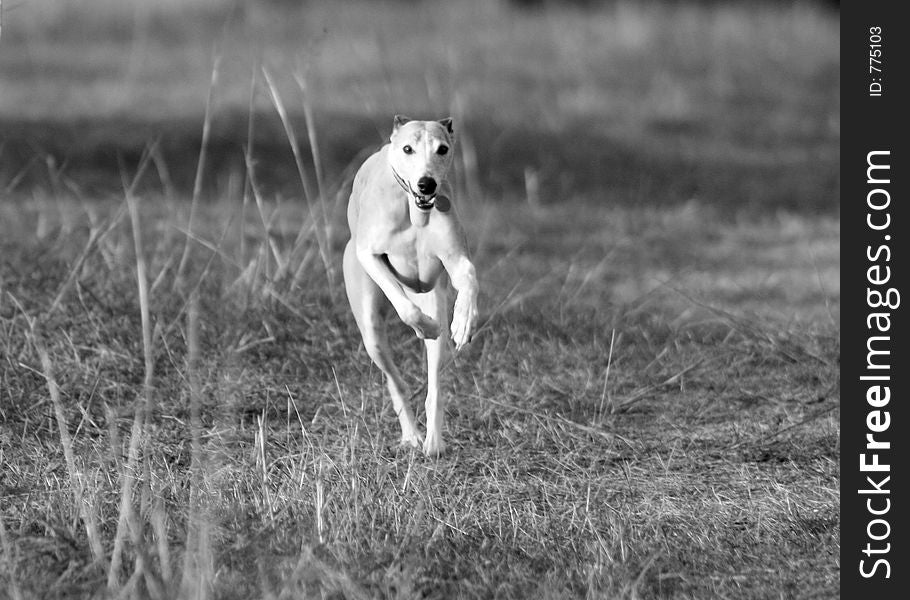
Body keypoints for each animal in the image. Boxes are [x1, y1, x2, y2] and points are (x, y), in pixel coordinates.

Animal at [344, 115, 480, 458]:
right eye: (408, 149)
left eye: (442, 149)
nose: (427, 184)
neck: (414, 210)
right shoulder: (370, 255)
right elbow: (402, 304)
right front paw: (423, 325)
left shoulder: (455, 258)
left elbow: (469, 277)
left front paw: (464, 321)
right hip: (371, 333)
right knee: (396, 382)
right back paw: (412, 435)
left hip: (435, 299)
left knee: (435, 382)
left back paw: (433, 440)